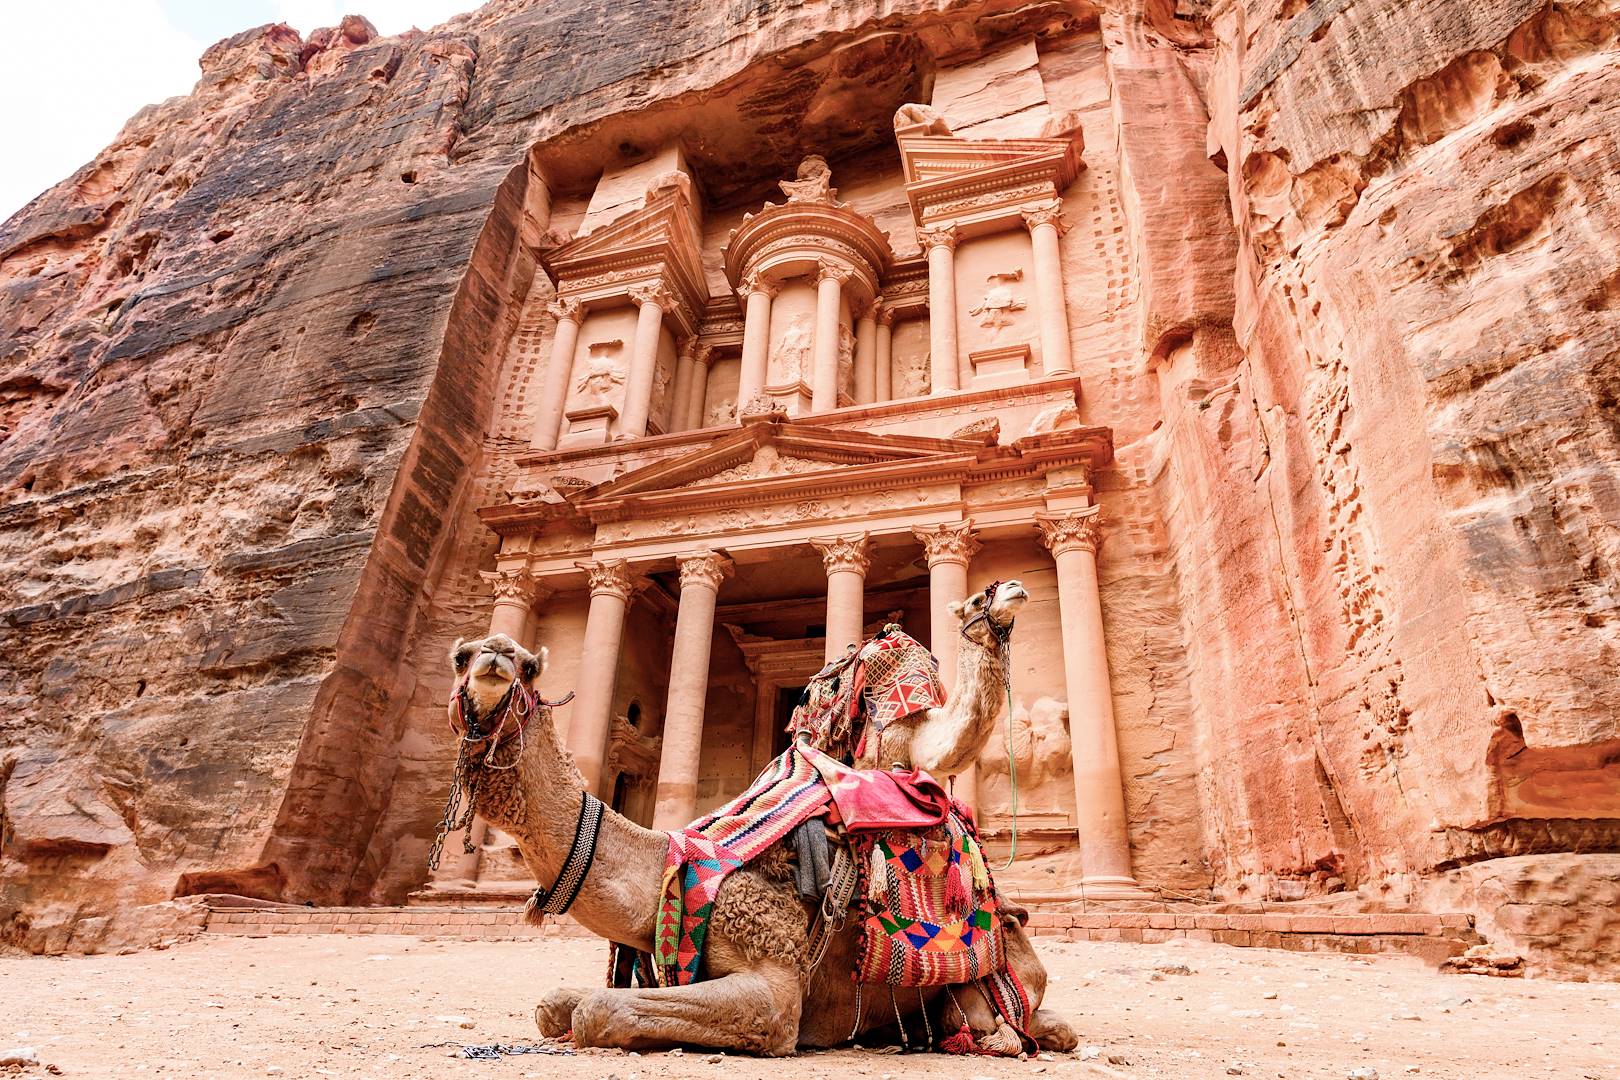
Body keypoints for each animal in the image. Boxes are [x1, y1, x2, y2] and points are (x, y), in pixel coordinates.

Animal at [440, 582, 1075, 1055]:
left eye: (528, 666)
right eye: (461, 656)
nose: (497, 655)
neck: (671, 868)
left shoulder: (775, 984)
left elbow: (599, 1010)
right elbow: (554, 1006)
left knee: (1026, 1023)